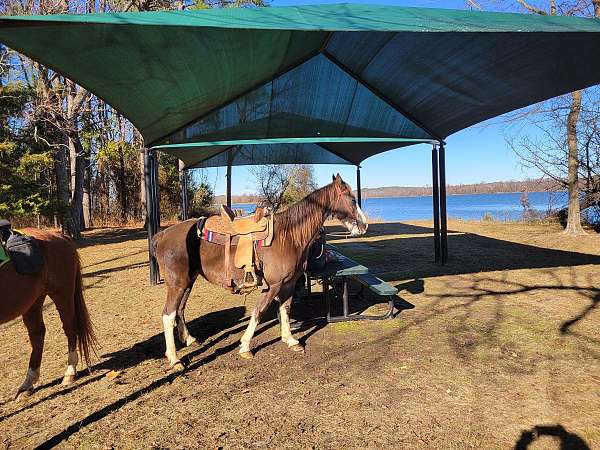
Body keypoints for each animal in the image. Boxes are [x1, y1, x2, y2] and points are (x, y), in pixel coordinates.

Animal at [0, 230, 95, 400]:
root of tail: (58, 235)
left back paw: (70, 372)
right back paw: (27, 383)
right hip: (34, 300)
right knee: (37, 334)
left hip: (62, 294)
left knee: (70, 328)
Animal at [154, 174, 366, 368]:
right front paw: (245, 346)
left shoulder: (289, 283)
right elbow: (259, 311)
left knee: (180, 309)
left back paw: (189, 339)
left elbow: (285, 309)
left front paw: (290, 340)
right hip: (177, 284)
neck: (288, 236)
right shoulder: (273, 285)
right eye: (352, 199)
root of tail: (163, 234)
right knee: (168, 315)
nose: (363, 225)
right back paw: (174, 359)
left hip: (188, 281)